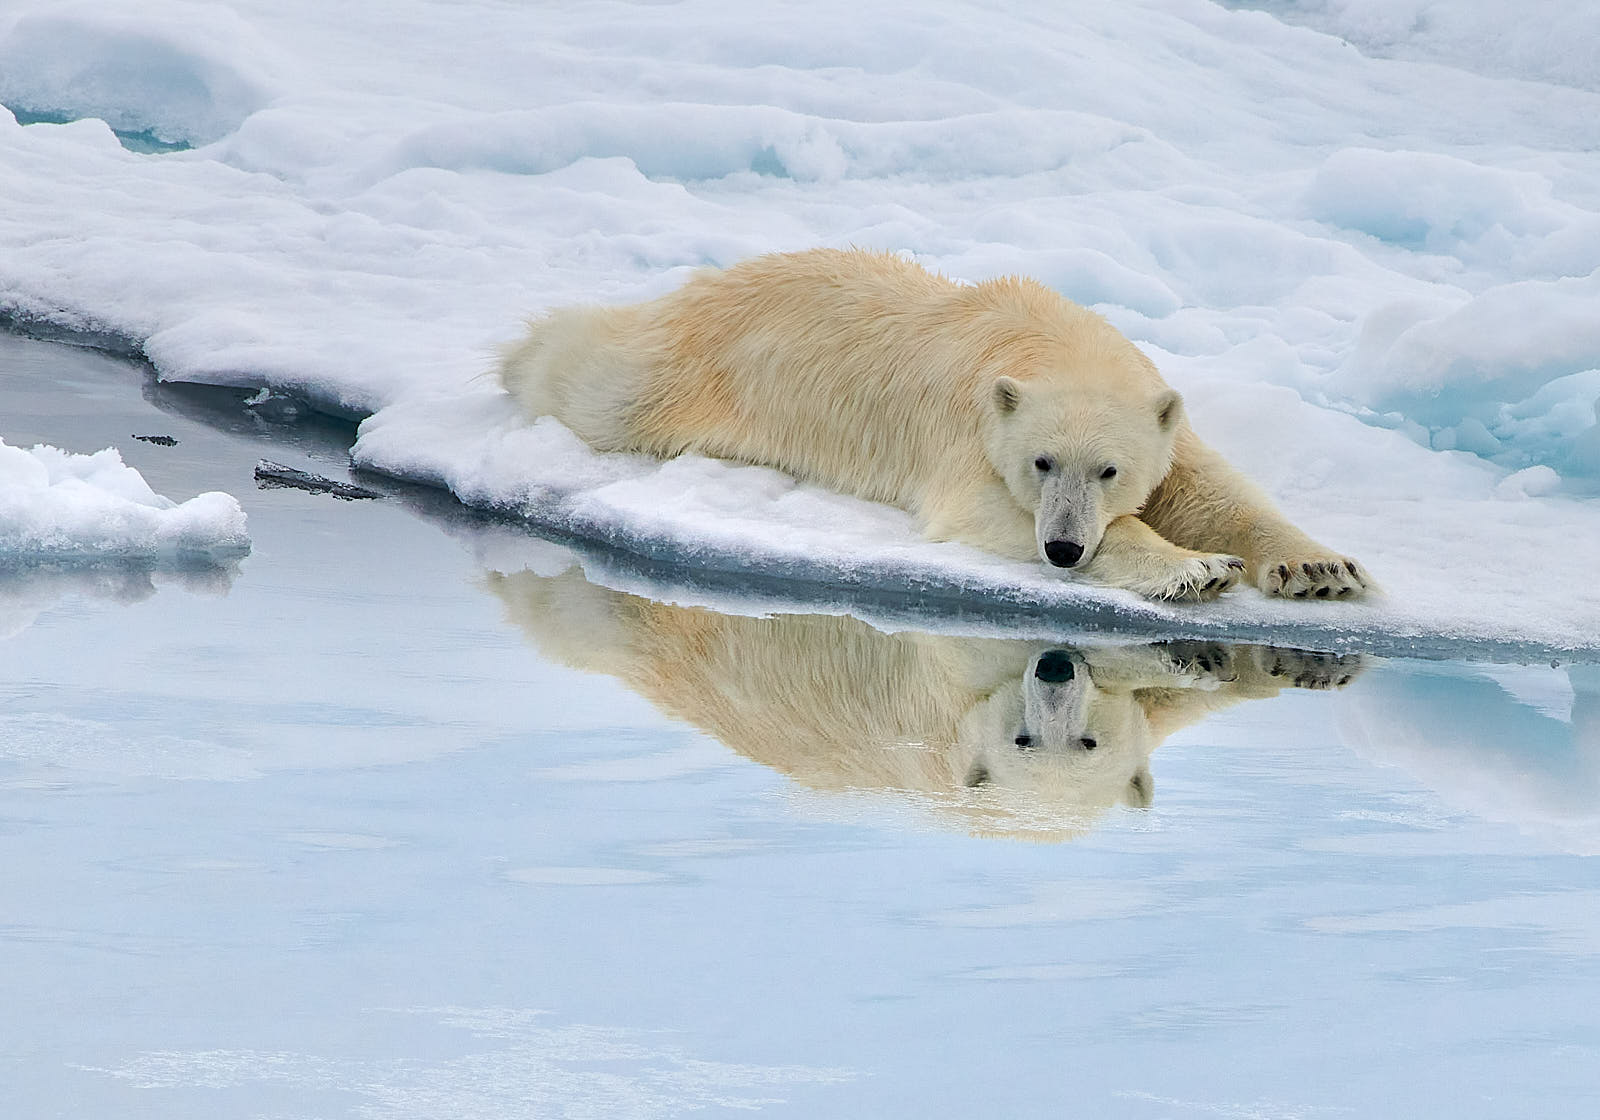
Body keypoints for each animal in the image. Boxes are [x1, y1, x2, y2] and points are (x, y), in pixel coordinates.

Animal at [498, 249, 1370, 602]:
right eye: (1041, 464)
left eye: (1110, 469)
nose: (1063, 548)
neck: (1049, 337)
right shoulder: (966, 427)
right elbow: (978, 509)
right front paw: (1195, 569)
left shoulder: (1160, 419)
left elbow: (1212, 490)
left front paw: (1318, 569)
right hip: (678, 375)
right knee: (594, 379)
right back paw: (521, 355)